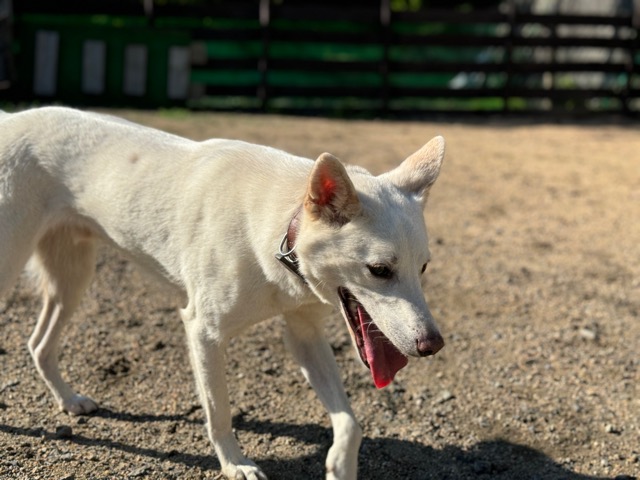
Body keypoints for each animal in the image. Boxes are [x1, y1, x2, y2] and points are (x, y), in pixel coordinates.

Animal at [0, 107, 445, 480]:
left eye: (423, 267)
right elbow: (219, 413)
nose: (433, 345)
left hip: (73, 278)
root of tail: (10, 119)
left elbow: (351, 423)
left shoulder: (303, 334)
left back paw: (69, 399)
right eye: (379, 270)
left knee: (39, 344)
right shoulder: (203, 332)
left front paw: (339, 465)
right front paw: (236, 465)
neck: (279, 230)